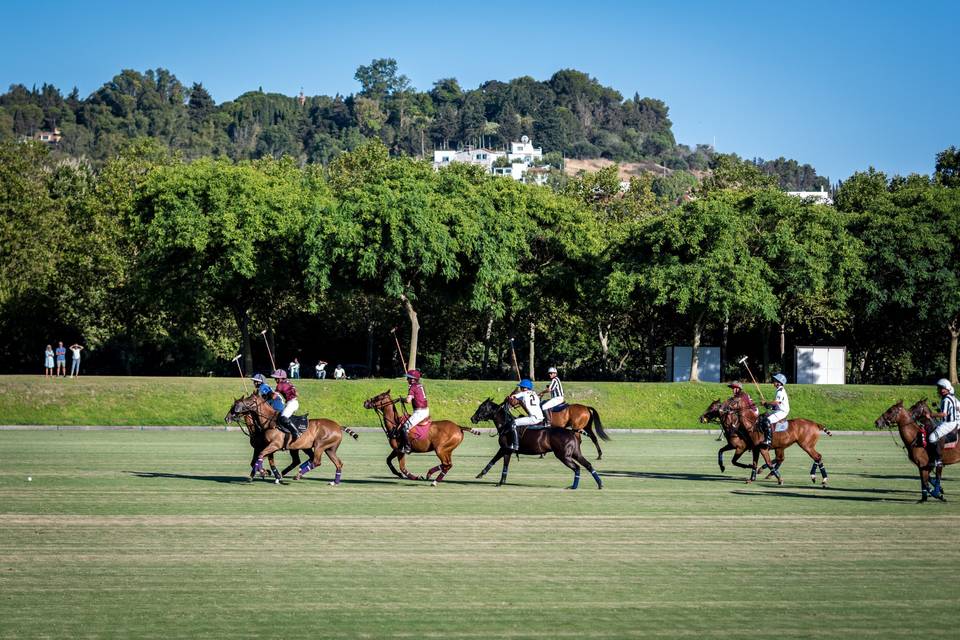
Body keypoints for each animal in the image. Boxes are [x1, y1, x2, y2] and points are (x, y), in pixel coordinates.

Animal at [227, 390, 358, 484]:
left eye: (248, 402)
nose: (227, 418)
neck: (268, 422)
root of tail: (338, 426)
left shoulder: (273, 445)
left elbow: (260, 457)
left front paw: (264, 473)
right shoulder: (267, 446)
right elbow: (260, 460)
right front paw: (263, 474)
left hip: (320, 445)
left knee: (316, 461)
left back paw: (297, 475)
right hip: (327, 449)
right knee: (337, 463)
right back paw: (334, 482)